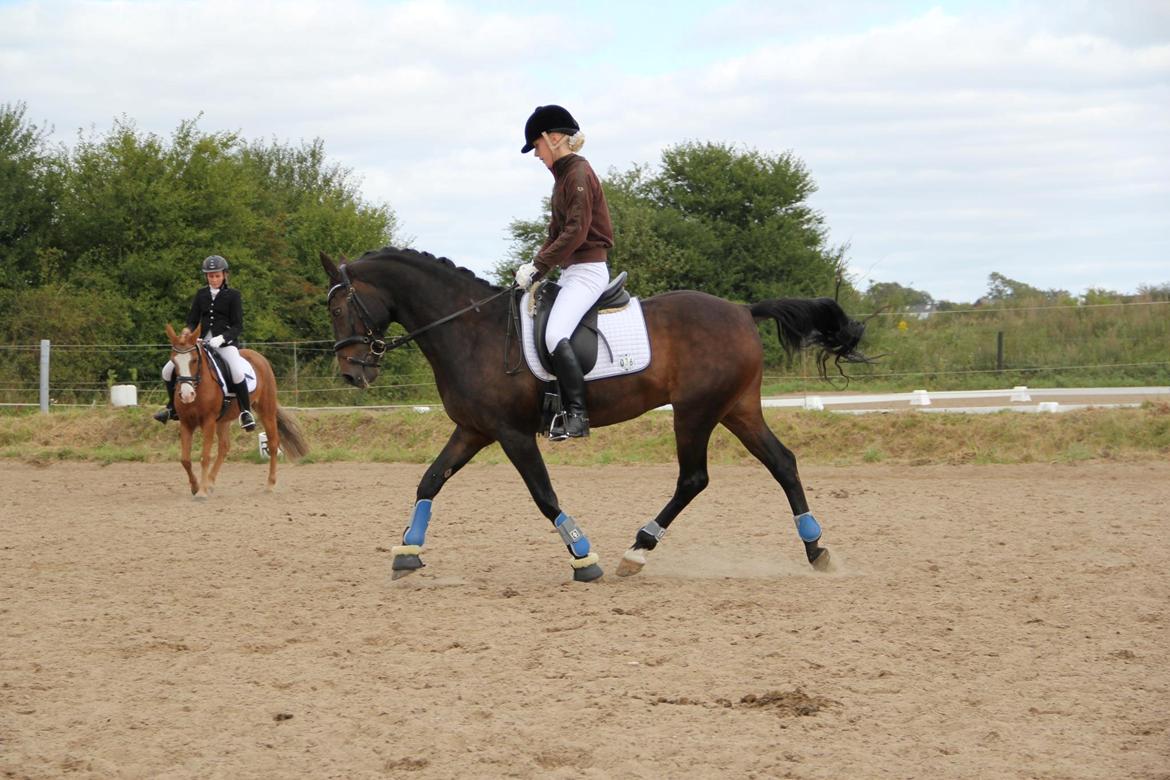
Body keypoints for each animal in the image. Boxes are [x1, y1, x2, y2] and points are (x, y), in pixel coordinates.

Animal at [167, 325, 311, 500]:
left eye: (194, 360)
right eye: (174, 361)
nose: (187, 395)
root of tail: (258, 356)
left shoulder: (208, 422)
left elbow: (205, 457)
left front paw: (201, 492)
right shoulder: (186, 422)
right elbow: (185, 459)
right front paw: (196, 487)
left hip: (266, 409)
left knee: (272, 443)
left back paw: (269, 485)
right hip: (223, 419)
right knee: (224, 447)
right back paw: (210, 483)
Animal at [320, 246, 870, 582]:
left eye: (341, 308)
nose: (351, 372)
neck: (470, 330)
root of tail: (740, 310)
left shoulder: (511, 433)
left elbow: (543, 496)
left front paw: (584, 557)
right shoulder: (474, 429)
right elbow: (430, 480)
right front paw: (407, 552)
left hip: (695, 412)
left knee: (694, 478)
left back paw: (637, 550)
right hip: (737, 409)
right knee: (783, 463)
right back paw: (816, 550)